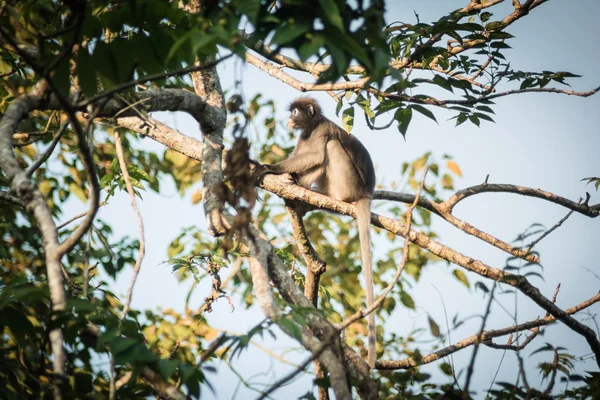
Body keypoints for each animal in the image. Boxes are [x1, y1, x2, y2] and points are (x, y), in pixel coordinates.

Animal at [255, 97, 378, 368]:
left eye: (295, 111)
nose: (290, 117)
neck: (311, 127)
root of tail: (366, 193)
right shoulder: (304, 135)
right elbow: (304, 156)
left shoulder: (321, 130)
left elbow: (316, 154)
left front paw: (268, 167)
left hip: (347, 183)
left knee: (329, 148)